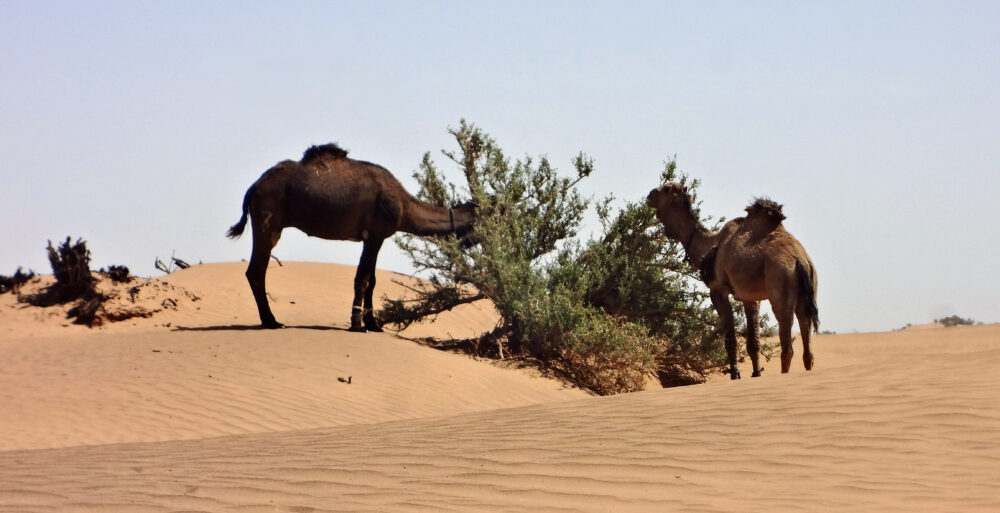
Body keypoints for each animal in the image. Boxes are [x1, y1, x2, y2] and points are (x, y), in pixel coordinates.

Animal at [228, 142, 476, 330]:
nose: (478, 241)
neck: (403, 206)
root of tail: (254, 187)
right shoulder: (374, 235)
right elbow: (363, 279)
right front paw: (357, 324)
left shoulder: (375, 237)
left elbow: (372, 281)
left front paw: (373, 324)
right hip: (268, 224)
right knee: (256, 271)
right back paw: (271, 321)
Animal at [648, 182, 820, 378]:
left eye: (666, 189)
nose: (649, 195)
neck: (709, 245)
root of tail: (800, 260)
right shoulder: (749, 297)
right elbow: (753, 342)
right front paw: (756, 373)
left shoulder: (717, 290)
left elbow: (730, 338)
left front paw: (735, 373)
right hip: (809, 290)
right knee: (807, 344)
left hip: (781, 282)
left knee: (787, 345)